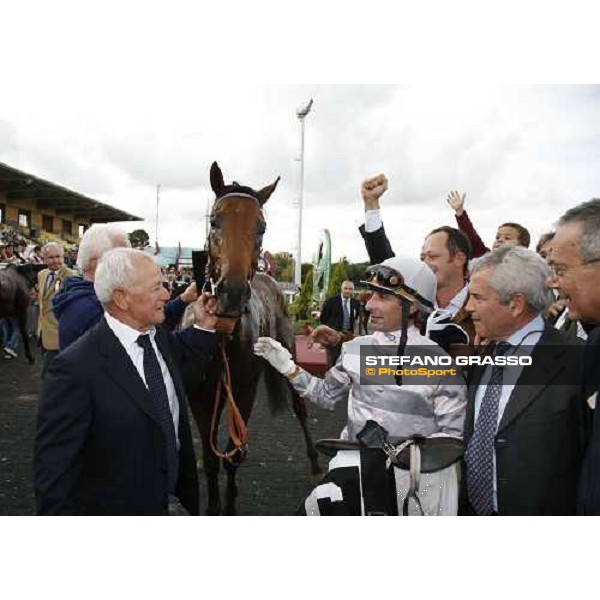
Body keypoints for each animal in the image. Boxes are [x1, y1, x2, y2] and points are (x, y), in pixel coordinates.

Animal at [185, 162, 324, 512]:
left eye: (261, 226)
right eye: (214, 220)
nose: (232, 293)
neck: (222, 338)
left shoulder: (244, 391)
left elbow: (232, 456)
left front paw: (230, 506)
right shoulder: (201, 395)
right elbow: (211, 458)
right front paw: (214, 506)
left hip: (288, 347)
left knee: (300, 407)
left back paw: (316, 465)